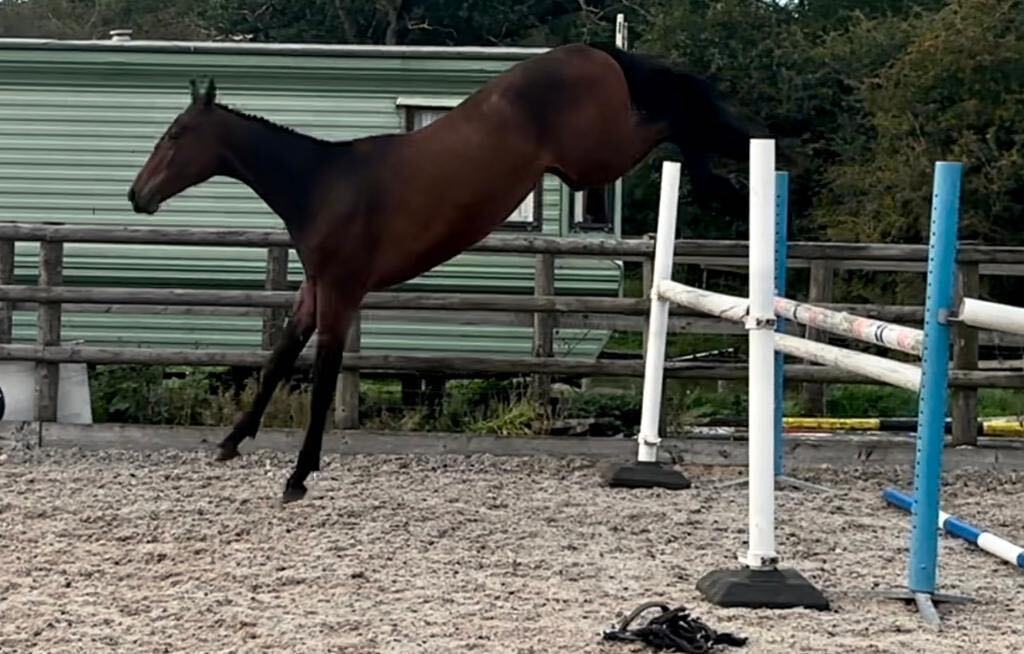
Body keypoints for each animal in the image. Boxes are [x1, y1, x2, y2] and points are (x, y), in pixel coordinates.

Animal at [127, 42, 761, 503]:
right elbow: (279, 359)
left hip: (596, 158)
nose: (138, 195)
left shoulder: (343, 293)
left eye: (176, 135)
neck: (322, 185)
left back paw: (734, 171)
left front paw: (298, 477)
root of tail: (589, 50)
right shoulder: (314, 291)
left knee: (676, 120)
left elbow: (324, 378)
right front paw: (232, 442)